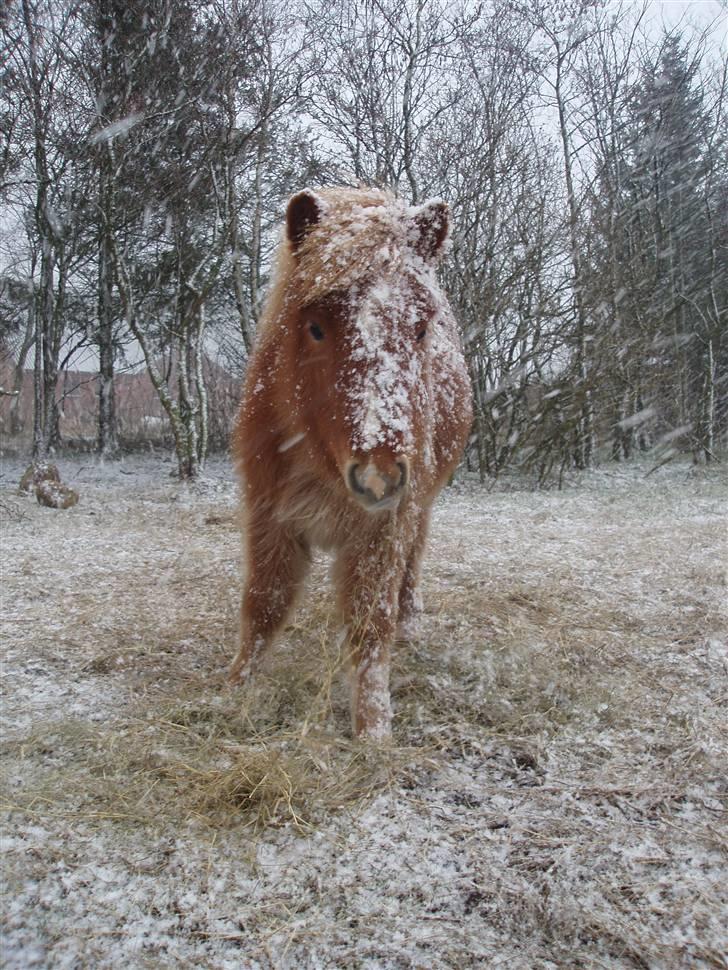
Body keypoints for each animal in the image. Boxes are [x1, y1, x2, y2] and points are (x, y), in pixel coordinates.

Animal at [230, 187, 474, 732]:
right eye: (315, 327)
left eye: (421, 328)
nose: (379, 477)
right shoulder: (270, 514)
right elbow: (264, 603)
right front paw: (234, 688)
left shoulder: (382, 530)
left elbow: (370, 624)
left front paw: (373, 729)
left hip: (419, 508)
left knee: (412, 564)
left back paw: (410, 622)